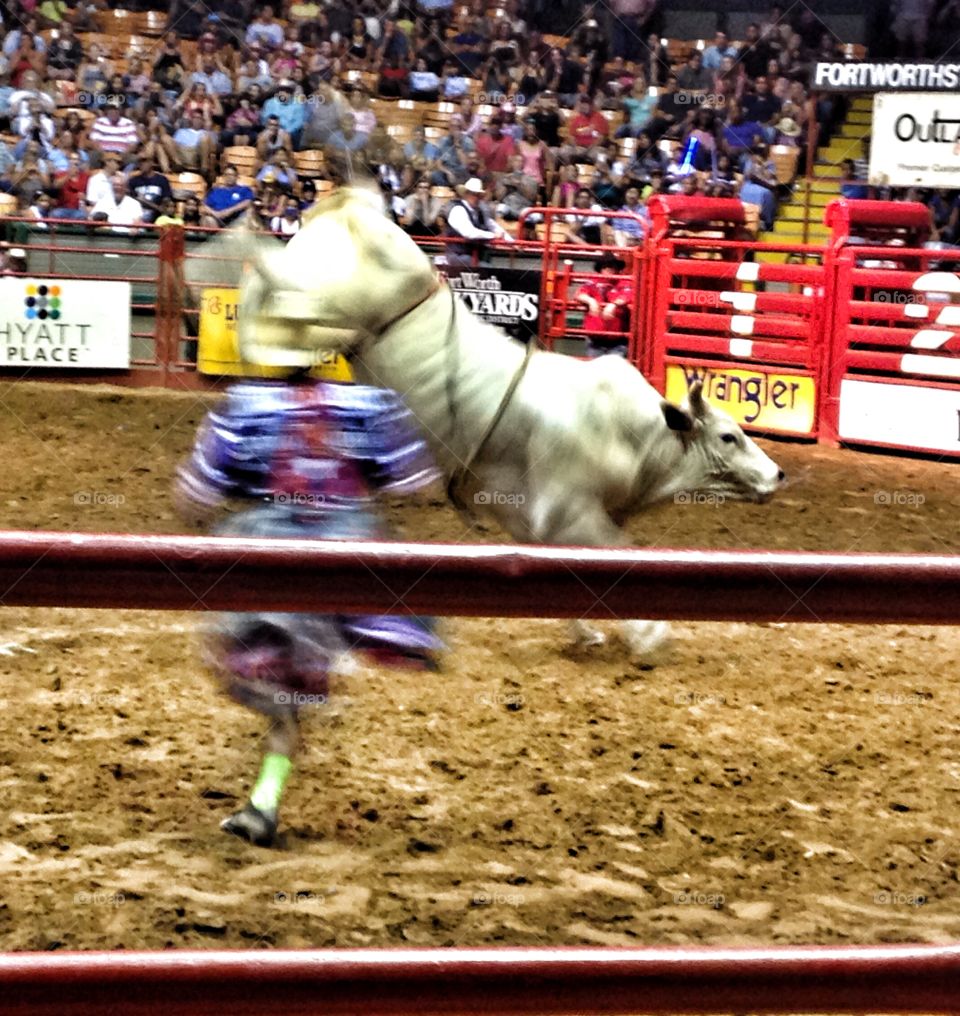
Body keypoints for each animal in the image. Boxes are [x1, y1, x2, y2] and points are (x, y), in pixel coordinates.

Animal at [226, 185, 788, 654]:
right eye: (729, 437)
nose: (778, 473)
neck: (632, 434)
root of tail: (354, 210)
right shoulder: (573, 513)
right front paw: (647, 635)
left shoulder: (530, 522)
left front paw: (588, 633)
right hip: (331, 297)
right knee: (275, 291)